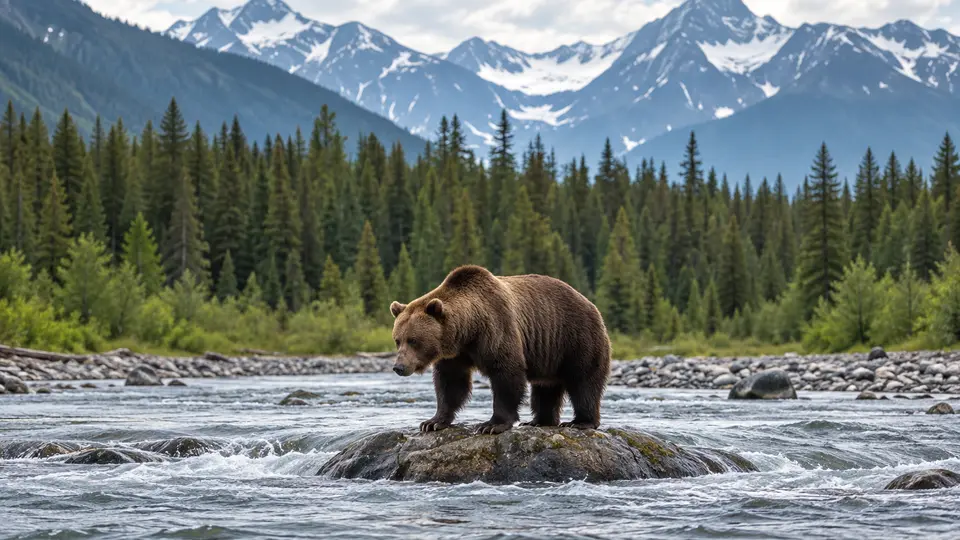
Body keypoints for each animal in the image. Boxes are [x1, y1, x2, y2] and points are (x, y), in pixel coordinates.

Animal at [389, 265, 611, 435]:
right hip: (550, 353)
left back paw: (580, 422)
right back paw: (539, 420)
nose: (398, 367)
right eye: (397, 340)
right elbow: (450, 383)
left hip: (576, 338)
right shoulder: (455, 354)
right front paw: (432, 422)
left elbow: (506, 374)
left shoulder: (496, 329)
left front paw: (491, 425)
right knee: (546, 387)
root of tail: (590, 304)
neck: (468, 331)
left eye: (413, 340)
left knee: (584, 381)